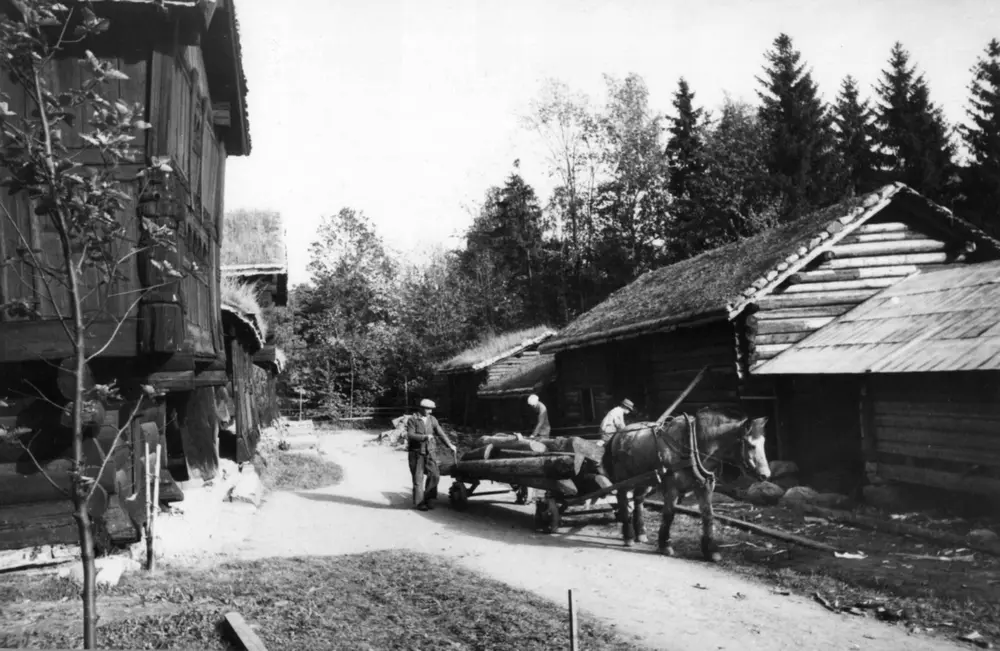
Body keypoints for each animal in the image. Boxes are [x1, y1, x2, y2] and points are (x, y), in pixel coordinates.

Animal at [600, 404, 772, 564]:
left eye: (764, 443)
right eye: (751, 445)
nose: (766, 475)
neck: (693, 444)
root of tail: (618, 435)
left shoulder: (704, 487)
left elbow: (708, 515)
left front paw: (711, 551)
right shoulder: (672, 488)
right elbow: (669, 515)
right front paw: (665, 545)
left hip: (645, 479)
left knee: (638, 500)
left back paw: (641, 533)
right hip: (623, 480)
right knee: (623, 500)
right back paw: (628, 536)